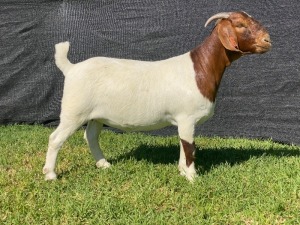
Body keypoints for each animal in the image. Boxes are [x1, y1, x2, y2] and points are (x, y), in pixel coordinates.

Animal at [42, 11, 272, 181]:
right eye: (240, 25)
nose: (267, 40)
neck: (200, 67)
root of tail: (71, 68)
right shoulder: (187, 117)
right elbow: (190, 146)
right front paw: (193, 177)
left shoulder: (184, 121)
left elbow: (184, 144)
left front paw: (182, 171)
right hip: (74, 111)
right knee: (55, 138)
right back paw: (50, 175)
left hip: (96, 115)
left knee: (90, 136)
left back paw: (104, 164)